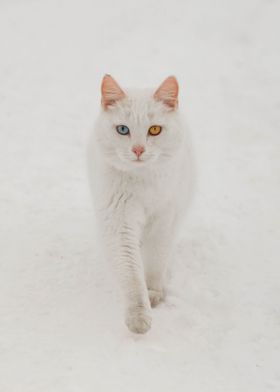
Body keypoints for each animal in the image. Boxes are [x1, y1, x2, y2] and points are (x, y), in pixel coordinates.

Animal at [88, 74, 194, 334]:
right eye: (122, 129)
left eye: (154, 130)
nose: (138, 149)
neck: (142, 183)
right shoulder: (118, 221)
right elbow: (131, 273)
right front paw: (138, 316)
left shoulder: (165, 217)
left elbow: (156, 258)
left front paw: (154, 292)